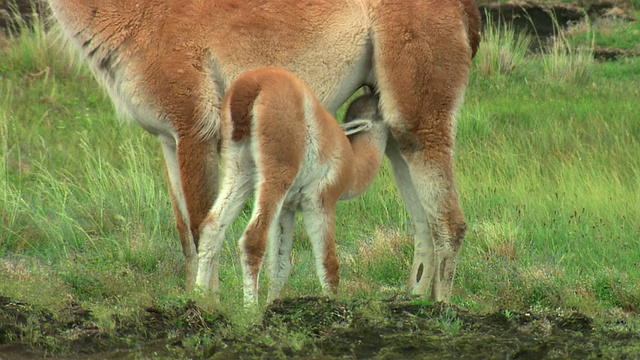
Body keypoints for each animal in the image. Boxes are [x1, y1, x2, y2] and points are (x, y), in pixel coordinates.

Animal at [194, 67, 384, 304]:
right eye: (380, 107)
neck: (352, 162)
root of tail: (253, 84)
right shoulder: (320, 203)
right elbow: (328, 264)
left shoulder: (287, 208)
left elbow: (280, 268)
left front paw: (273, 304)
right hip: (277, 172)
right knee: (252, 238)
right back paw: (251, 307)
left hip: (239, 171)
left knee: (212, 226)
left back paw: (199, 297)